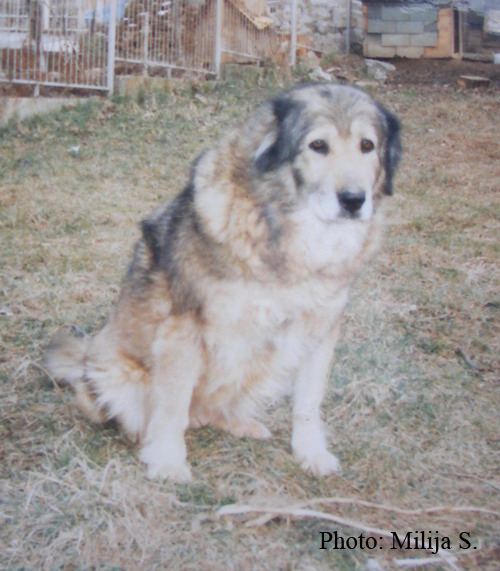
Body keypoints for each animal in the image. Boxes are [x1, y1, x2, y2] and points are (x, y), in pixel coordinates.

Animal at [45, 81, 400, 482]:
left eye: (367, 145)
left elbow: (309, 402)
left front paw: (311, 452)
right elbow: (171, 407)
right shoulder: (184, 329)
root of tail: (85, 355)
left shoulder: (320, 330)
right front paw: (168, 461)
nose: (354, 200)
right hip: (116, 376)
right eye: (318, 145)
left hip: (266, 363)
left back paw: (240, 424)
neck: (287, 236)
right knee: (156, 414)